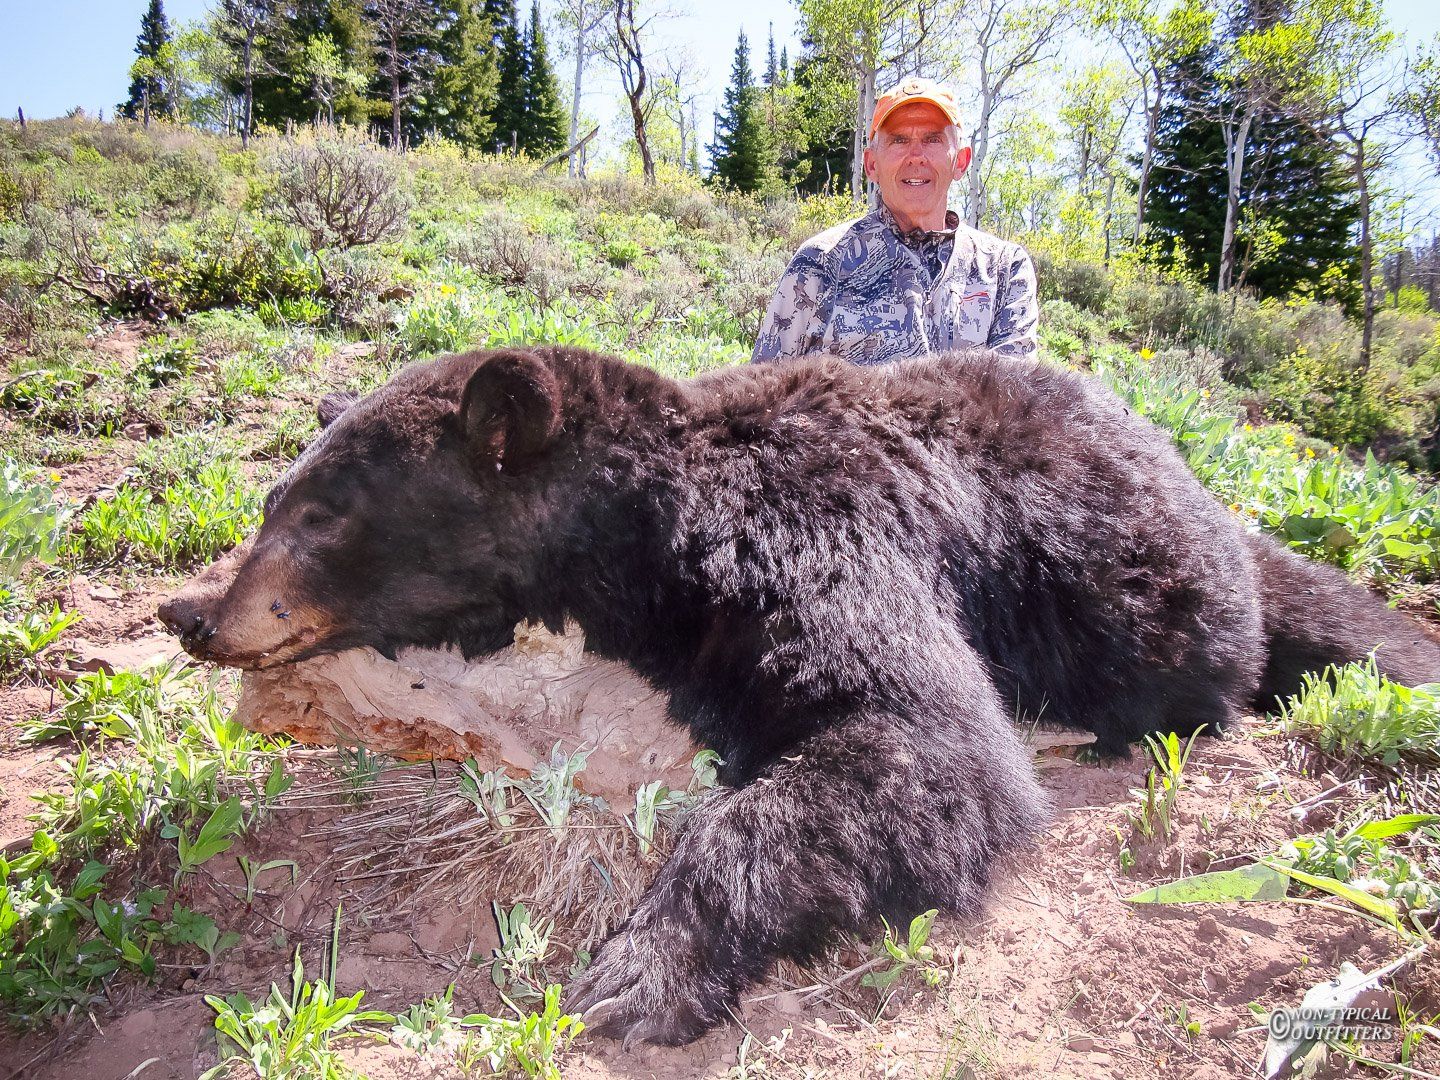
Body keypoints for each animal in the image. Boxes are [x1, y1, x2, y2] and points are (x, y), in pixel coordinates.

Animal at [159, 345, 1440, 1046]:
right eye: (273, 501)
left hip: (1161, 598)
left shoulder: (818, 531)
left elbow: (923, 741)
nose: (196, 615)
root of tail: (1206, 490)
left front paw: (640, 971)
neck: (662, 521)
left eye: (320, 515)